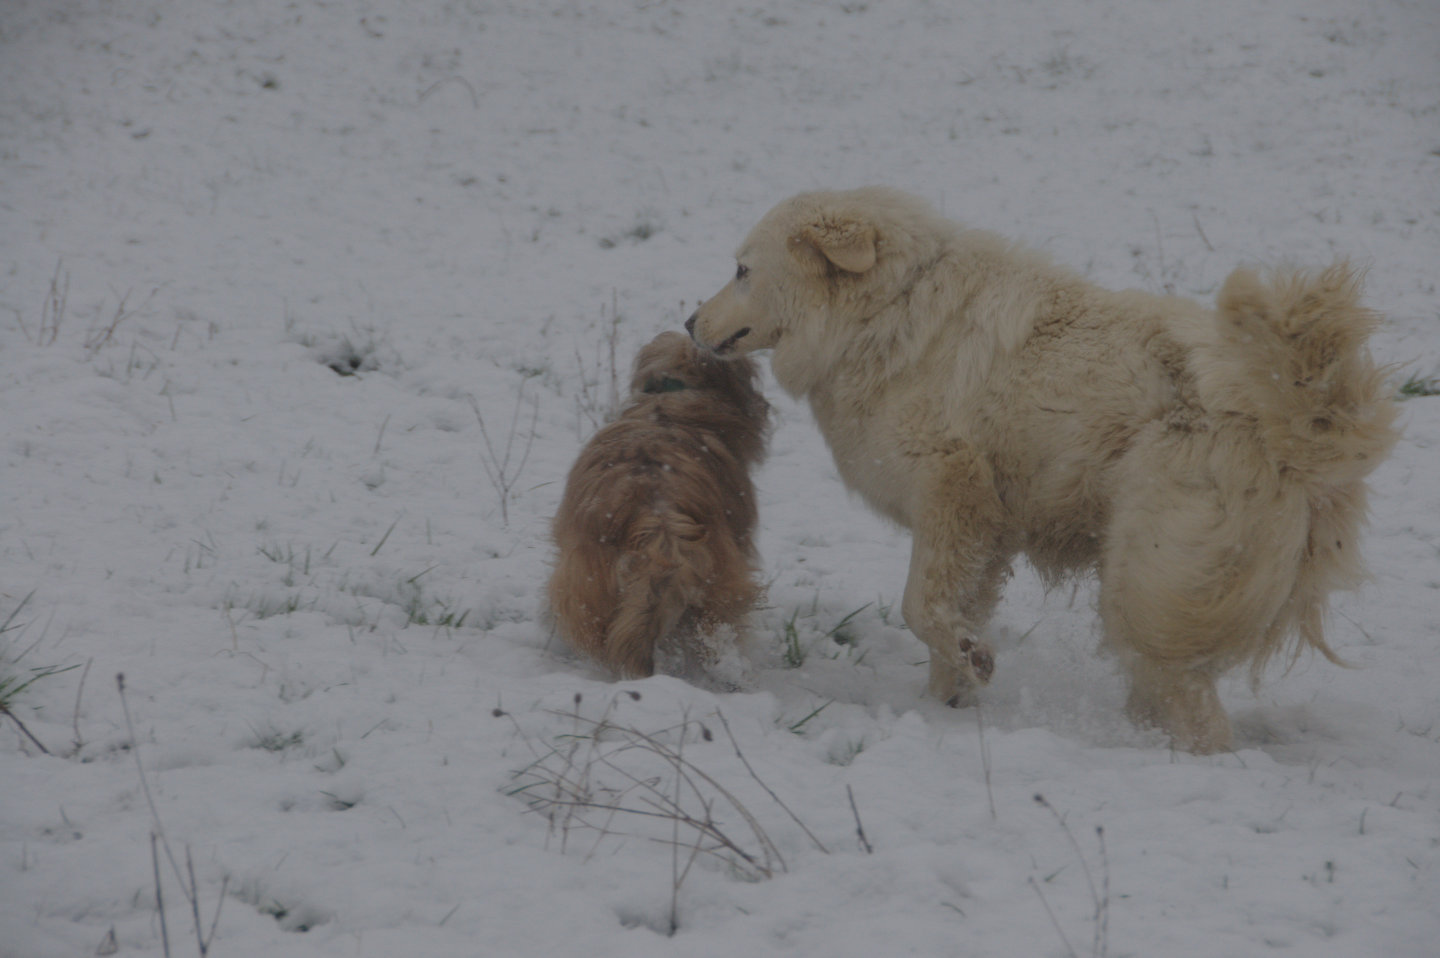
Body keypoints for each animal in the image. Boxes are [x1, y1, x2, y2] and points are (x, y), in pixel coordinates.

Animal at [685, 187, 1393, 749]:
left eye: (742, 270)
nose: (689, 321)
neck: (885, 312)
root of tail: (1283, 422)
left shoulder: (950, 488)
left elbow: (921, 606)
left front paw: (970, 659)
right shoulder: (984, 528)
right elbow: (953, 609)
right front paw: (946, 701)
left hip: (1150, 573)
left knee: (1189, 699)